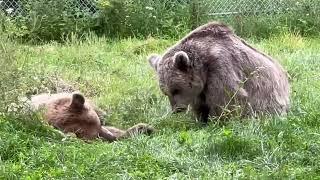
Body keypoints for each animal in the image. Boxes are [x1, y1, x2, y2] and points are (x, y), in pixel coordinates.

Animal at [149, 21, 292, 122]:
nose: (177, 110)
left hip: (269, 99)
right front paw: (201, 119)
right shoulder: (201, 87)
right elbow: (200, 104)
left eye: (176, 89)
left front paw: (216, 120)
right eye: (165, 92)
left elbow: (228, 98)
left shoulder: (220, 66)